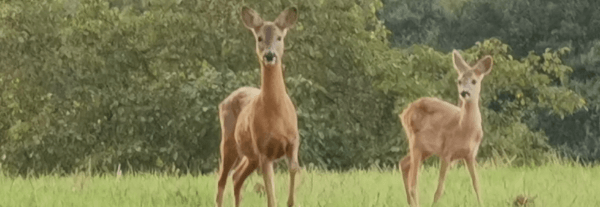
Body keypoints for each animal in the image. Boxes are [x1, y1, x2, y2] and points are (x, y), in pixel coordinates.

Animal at [214, 5, 300, 206]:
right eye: (259, 38)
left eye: (279, 37)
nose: (269, 55)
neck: (276, 113)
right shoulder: (263, 150)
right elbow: (270, 195)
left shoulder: (294, 140)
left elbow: (294, 169)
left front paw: (290, 201)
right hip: (229, 142)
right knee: (222, 180)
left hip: (250, 155)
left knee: (237, 177)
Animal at [398, 50, 492, 207]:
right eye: (459, 81)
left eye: (474, 81)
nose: (464, 93)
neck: (463, 129)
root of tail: (404, 112)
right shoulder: (447, 152)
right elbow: (439, 188)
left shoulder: (470, 154)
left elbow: (476, 185)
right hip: (414, 142)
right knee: (413, 182)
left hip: (426, 149)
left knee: (404, 163)